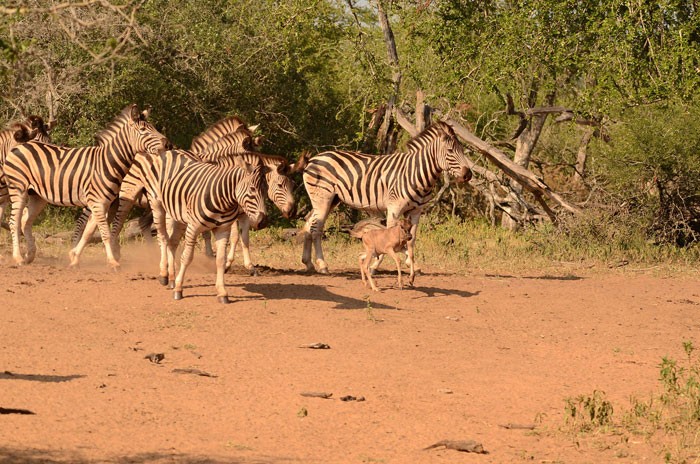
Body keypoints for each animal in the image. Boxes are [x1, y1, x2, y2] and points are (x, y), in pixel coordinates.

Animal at [3, 103, 171, 266]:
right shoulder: (97, 202)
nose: (168, 144)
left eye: (154, 128)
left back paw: (29, 256)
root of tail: (19, 146)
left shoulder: (102, 203)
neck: (107, 163)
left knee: (26, 221)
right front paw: (113, 262)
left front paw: (75, 257)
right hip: (18, 189)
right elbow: (104, 233)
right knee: (14, 222)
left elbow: (89, 232)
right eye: (143, 130)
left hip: (38, 196)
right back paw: (18, 258)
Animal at [126, 150, 268, 304]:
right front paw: (179, 289)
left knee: (172, 242)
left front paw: (222, 292)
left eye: (266, 191)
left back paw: (172, 278)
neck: (223, 200)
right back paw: (164, 275)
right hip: (157, 205)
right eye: (252, 189)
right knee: (163, 238)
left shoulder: (223, 229)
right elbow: (187, 257)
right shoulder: (193, 227)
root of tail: (171, 151)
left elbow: (220, 260)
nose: (263, 222)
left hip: (178, 216)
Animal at [300, 120, 470, 282]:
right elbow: (388, 237)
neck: (416, 172)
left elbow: (411, 239)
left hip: (331, 199)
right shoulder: (394, 207)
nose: (468, 174)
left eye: (462, 150)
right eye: (450, 151)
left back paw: (308, 263)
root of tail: (314, 158)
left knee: (309, 223)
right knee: (316, 228)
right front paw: (374, 266)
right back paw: (322, 265)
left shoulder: (416, 211)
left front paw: (412, 265)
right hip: (323, 198)